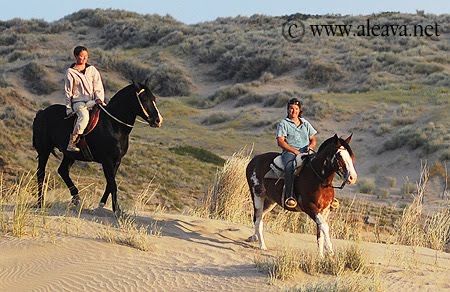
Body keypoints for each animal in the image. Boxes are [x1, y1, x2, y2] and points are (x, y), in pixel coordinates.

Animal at [33, 80, 163, 217]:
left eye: (154, 98)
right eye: (144, 99)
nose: (158, 120)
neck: (114, 125)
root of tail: (41, 113)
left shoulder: (117, 161)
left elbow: (110, 183)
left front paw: (102, 204)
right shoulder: (107, 160)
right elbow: (113, 184)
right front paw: (117, 210)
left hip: (69, 154)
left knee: (63, 171)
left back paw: (76, 198)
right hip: (44, 150)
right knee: (41, 174)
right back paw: (40, 202)